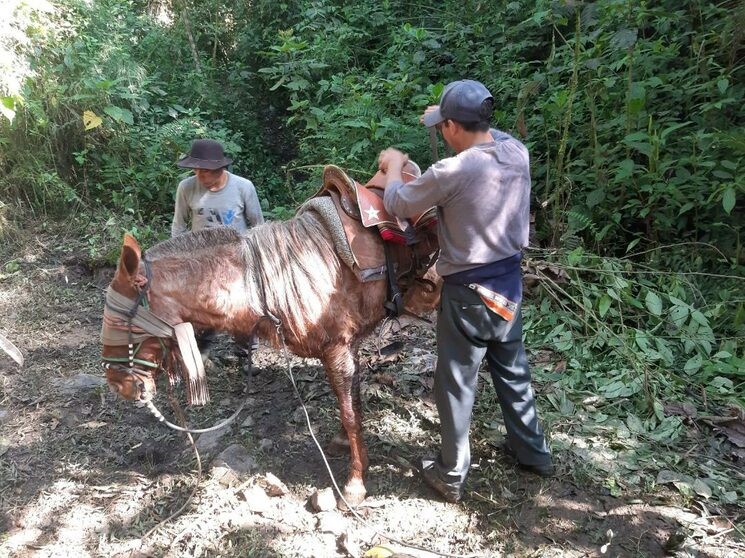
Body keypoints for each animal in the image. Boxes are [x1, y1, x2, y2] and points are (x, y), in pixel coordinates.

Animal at [100, 171, 440, 506]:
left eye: (120, 319)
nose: (116, 383)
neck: (276, 279)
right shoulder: (346, 348)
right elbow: (350, 404)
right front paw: (345, 445)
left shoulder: (339, 348)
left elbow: (349, 413)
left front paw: (355, 483)